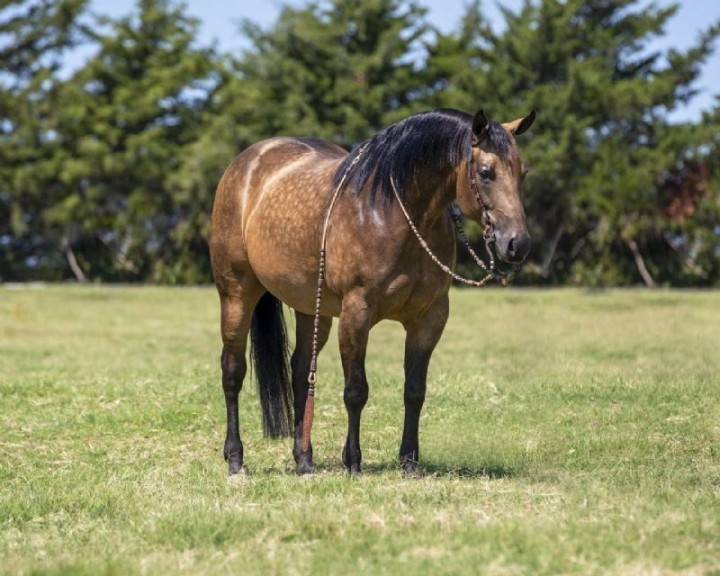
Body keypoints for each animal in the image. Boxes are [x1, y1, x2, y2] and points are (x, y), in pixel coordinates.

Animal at [210, 108, 535, 475]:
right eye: (485, 172)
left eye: (522, 171)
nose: (517, 244)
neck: (393, 213)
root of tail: (247, 162)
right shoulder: (356, 313)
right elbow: (356, 391)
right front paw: (352, 461)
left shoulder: (430, 317)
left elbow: (414, 390)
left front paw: (409, 461)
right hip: (237, 294)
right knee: (233, 370)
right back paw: (235, 458)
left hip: (311, 308)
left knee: (301, 371)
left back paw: (304, 460)